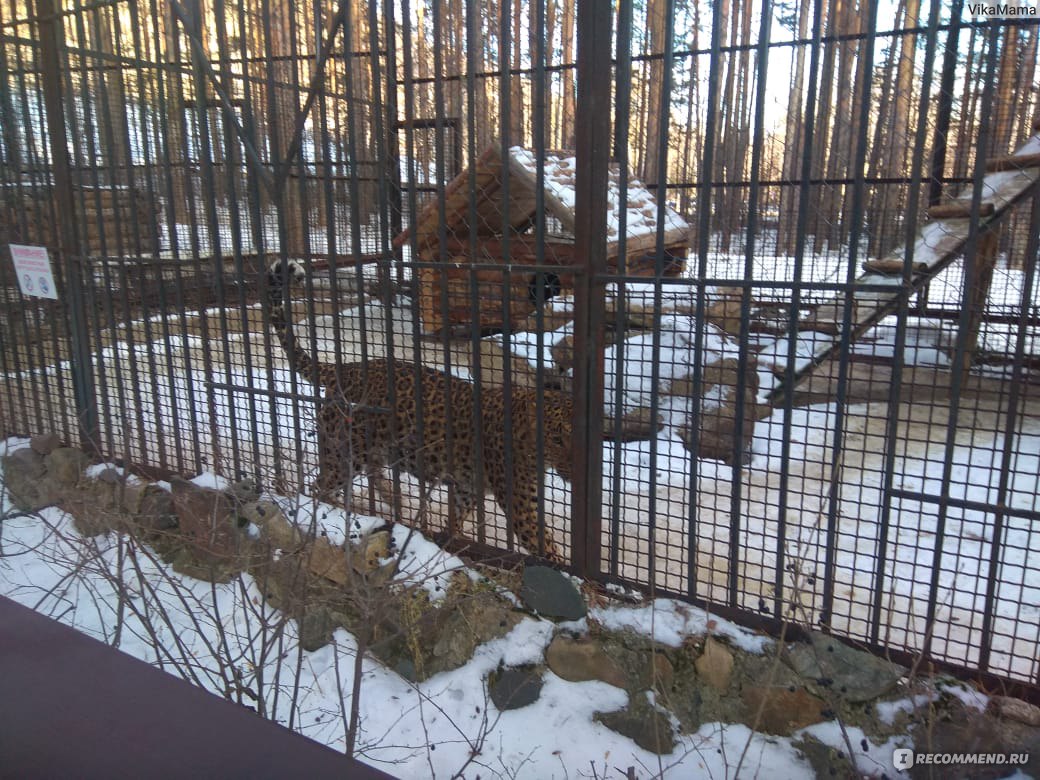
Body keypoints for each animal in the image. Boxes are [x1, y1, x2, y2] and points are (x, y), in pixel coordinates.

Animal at [266, 260, 578, 565]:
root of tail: (345, 368)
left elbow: (456, 519)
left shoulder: (467, 489)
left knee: (371, 475)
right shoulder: (520, 505)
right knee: (317, 486)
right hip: (344, 456)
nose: (574, 474)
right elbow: (548, 548)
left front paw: (450, 543)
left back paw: (393, 504)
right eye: (557, 439)